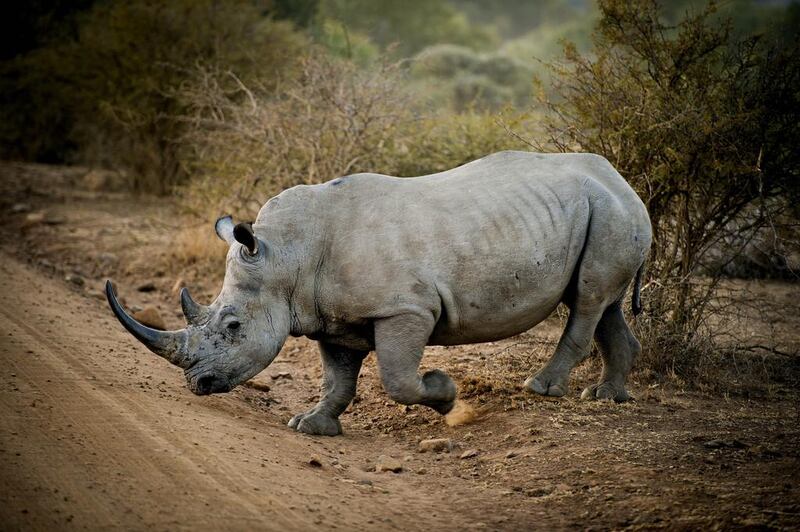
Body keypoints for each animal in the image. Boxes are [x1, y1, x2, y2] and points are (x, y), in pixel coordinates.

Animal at [106, 151, 652, 436]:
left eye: (234, 325)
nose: (196, 384)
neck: (286, 256)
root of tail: (621, 178)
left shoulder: (405, 308)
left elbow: (397, 379)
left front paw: (446, 394)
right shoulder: (330, 318)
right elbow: (337, 378)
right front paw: (311, 425)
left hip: (610, 210)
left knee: (587, 300)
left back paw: (541, 389)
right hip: (602, 210)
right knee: (601, 301)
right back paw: (607, 396)